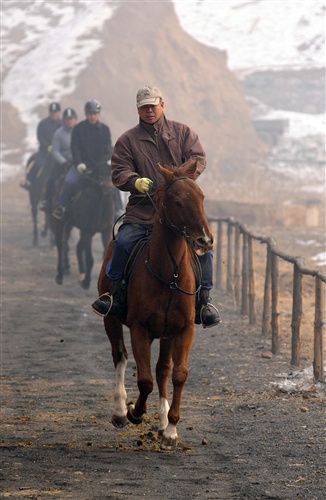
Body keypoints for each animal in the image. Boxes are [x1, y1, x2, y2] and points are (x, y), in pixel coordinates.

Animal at [54, 160, 117, 290]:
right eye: (101, 168)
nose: (108, 189)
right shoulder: (87, 231)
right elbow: (90, 259)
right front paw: (86, 282)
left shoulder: (106, 231)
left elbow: (105, 254)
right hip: (61, 222)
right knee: (60, 243)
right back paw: (60, 275)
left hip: (72, 225)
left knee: (77, 246)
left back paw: (81, 273)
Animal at [97, 160, 214, 450]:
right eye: (178, 201)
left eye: (201, 197)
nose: (205, 241)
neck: (169, 275)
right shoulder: (140, 330)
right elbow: (144, 380)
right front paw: (134, 412)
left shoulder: (183, 330)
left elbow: (177, 374)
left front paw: (170, 428)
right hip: (111, 319)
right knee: (120, 356)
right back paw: (120, 411)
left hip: (166, 334)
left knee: (162, 370)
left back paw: (162, 423)